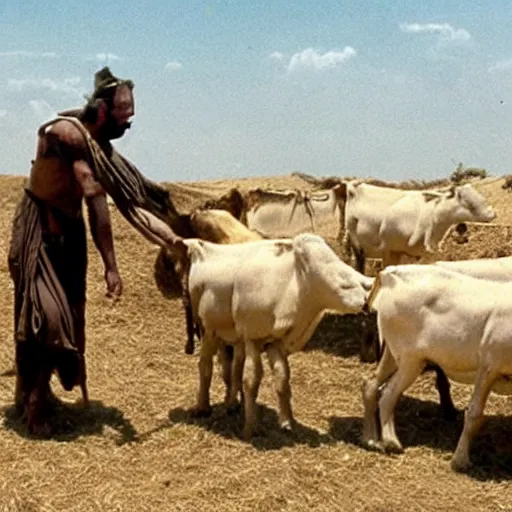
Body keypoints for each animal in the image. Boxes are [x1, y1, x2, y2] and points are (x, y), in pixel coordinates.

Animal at [171, 233, 372, 440]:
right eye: (345, 284)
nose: (370, 290)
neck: (293, 284)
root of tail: (197, 247)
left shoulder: (276, 343)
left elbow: (282, 379)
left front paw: (287, 423)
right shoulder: (253, 338)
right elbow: (251, 380)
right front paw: (250, 428)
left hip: (233, 337)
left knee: (233, 367)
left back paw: (232, 404)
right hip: (209, 330)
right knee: (205, 366)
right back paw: (202, 407)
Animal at [360, 264, 512, 472]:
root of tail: (390, 274)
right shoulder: (489, 367)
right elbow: (474, 414)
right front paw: (460, 461)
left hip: (392, 354)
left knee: (370, 385)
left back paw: (371, 440)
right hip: (411, 360)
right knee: (388, 395)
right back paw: (392, 443)